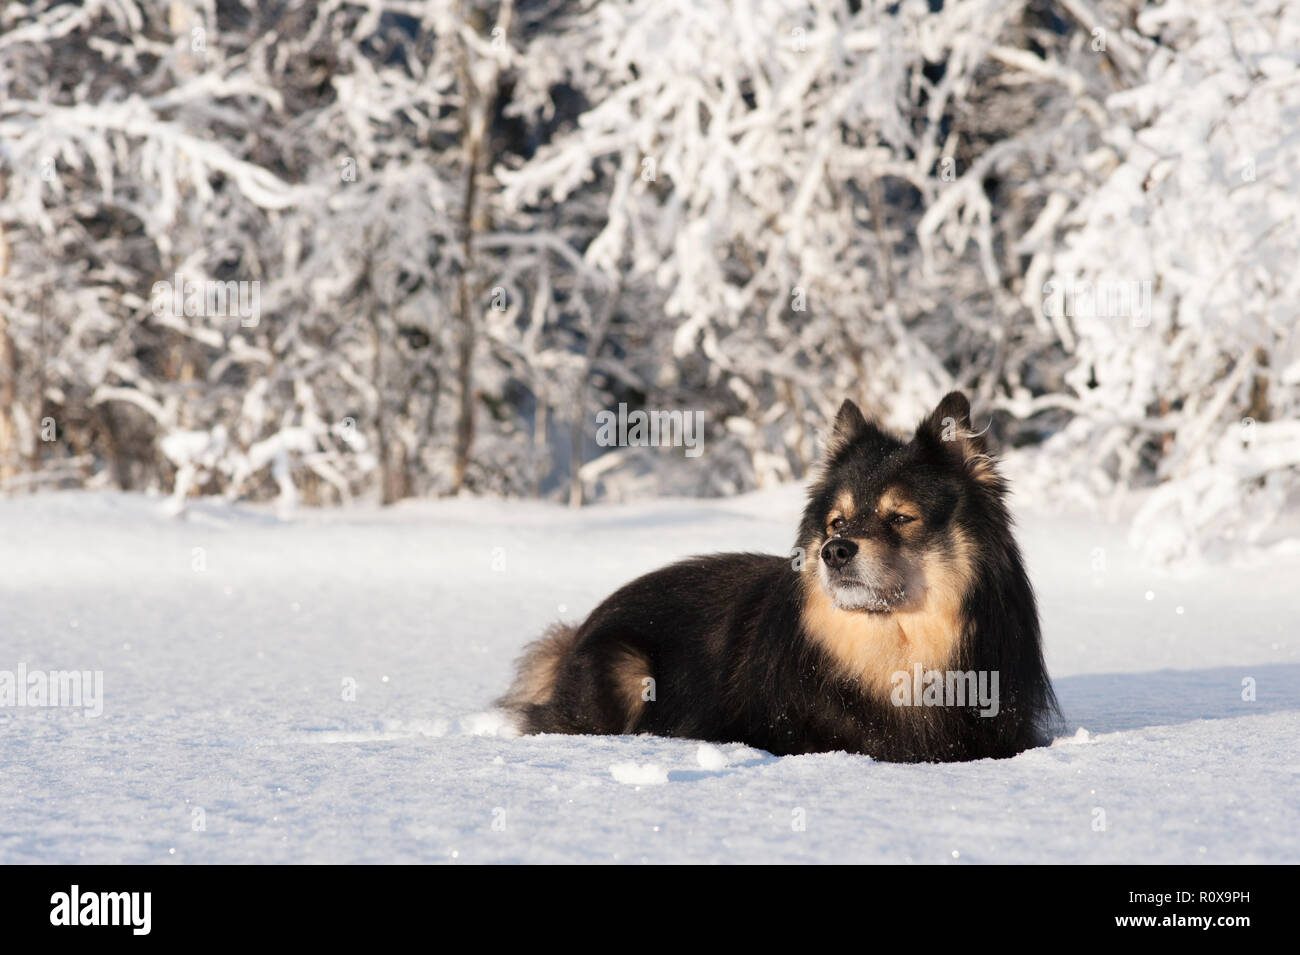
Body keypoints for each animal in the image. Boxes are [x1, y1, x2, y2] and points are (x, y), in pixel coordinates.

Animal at [496, 394, 1055, 764]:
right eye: (836, 522)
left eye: (900, 518)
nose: (835, 551)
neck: (895, 652)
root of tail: (576, 634)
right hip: (628, 665)